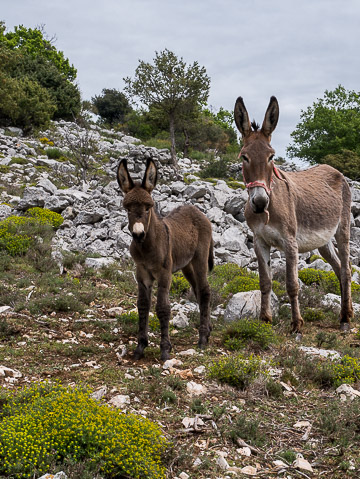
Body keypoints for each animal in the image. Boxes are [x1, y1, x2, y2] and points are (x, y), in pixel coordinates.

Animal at [118, 158, 214, 360]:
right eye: (127, 208)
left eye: (148, 207)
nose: (138, 234)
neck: (147, 246)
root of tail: (197, 211)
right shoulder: (142, 274)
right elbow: (142, 306)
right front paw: (140, 347)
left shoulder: (164, 274)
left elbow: (163, 308)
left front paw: (164, 349)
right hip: (187, 265)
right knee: (198, 290)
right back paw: (208, 330)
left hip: (200, 259)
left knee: (205, 290)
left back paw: (202, 339)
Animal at [233, 96, 352, 338]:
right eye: (244, 157)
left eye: (271, 156)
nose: (260, 203)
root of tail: (335, 170)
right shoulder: (259, 241)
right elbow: (265, 281)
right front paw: (265, 320)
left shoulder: (290, 242)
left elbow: (291, 283)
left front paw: (296, 324)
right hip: (323, 241)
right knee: (338, 267)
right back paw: (349, 312)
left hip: (342, 229)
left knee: (346, 269)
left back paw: (345, 318)